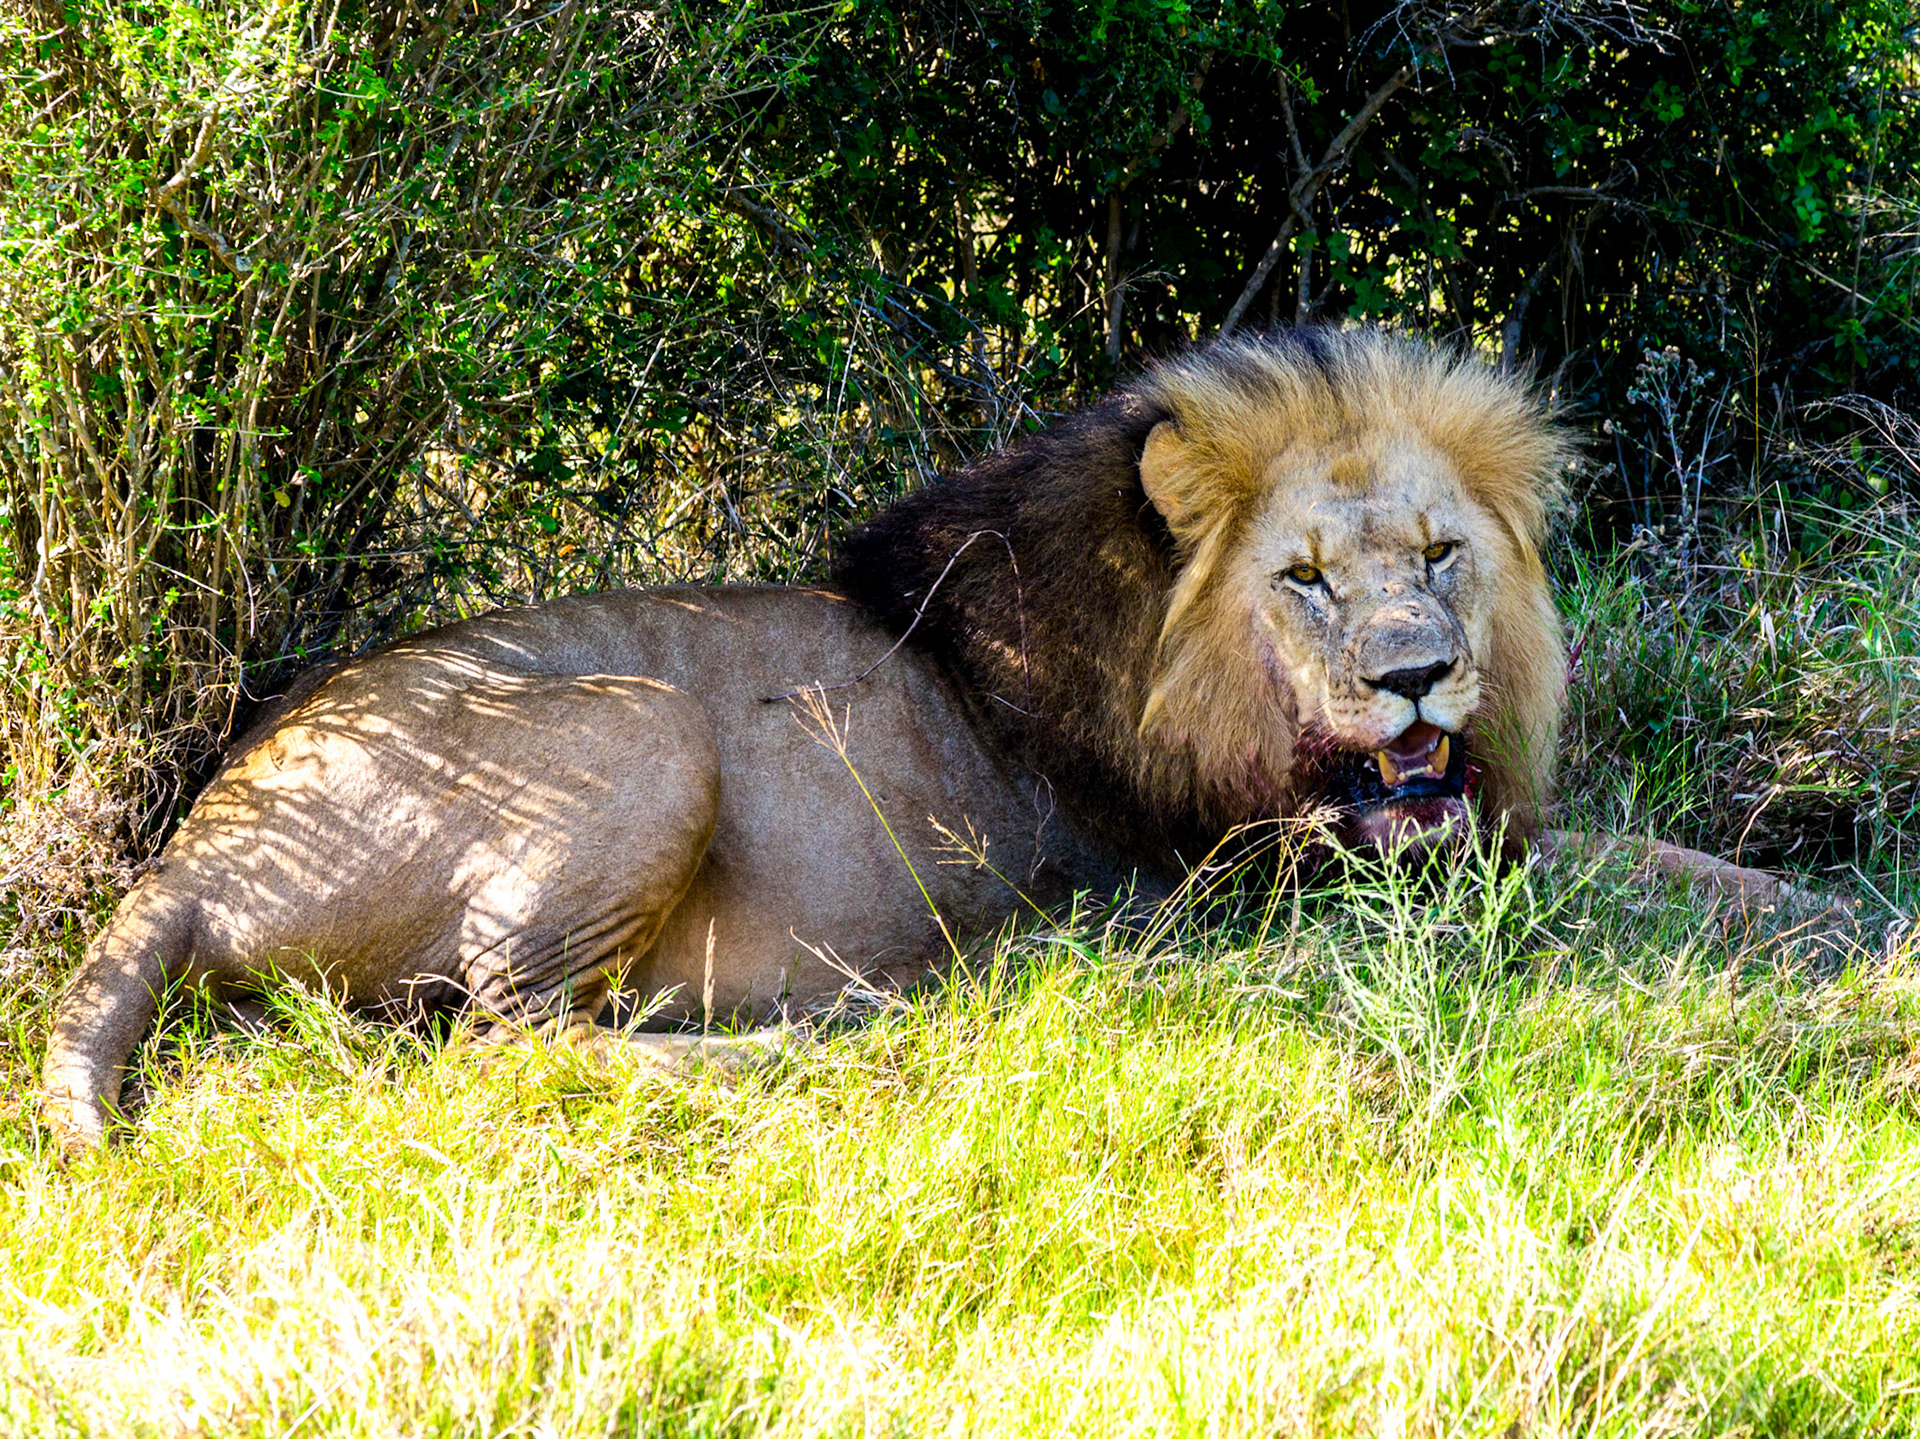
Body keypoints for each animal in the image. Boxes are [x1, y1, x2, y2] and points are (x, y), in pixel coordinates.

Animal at [38, 327, 1789, 1154]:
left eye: (1440, 555)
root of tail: (193, 848)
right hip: (642, 724)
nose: (1421, 676)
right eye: (1300, 579)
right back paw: (808, 1043)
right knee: (504, 1037)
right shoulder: (1235, 886)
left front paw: (1791, 892)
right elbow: (1603, 871)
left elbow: (1640, 846)